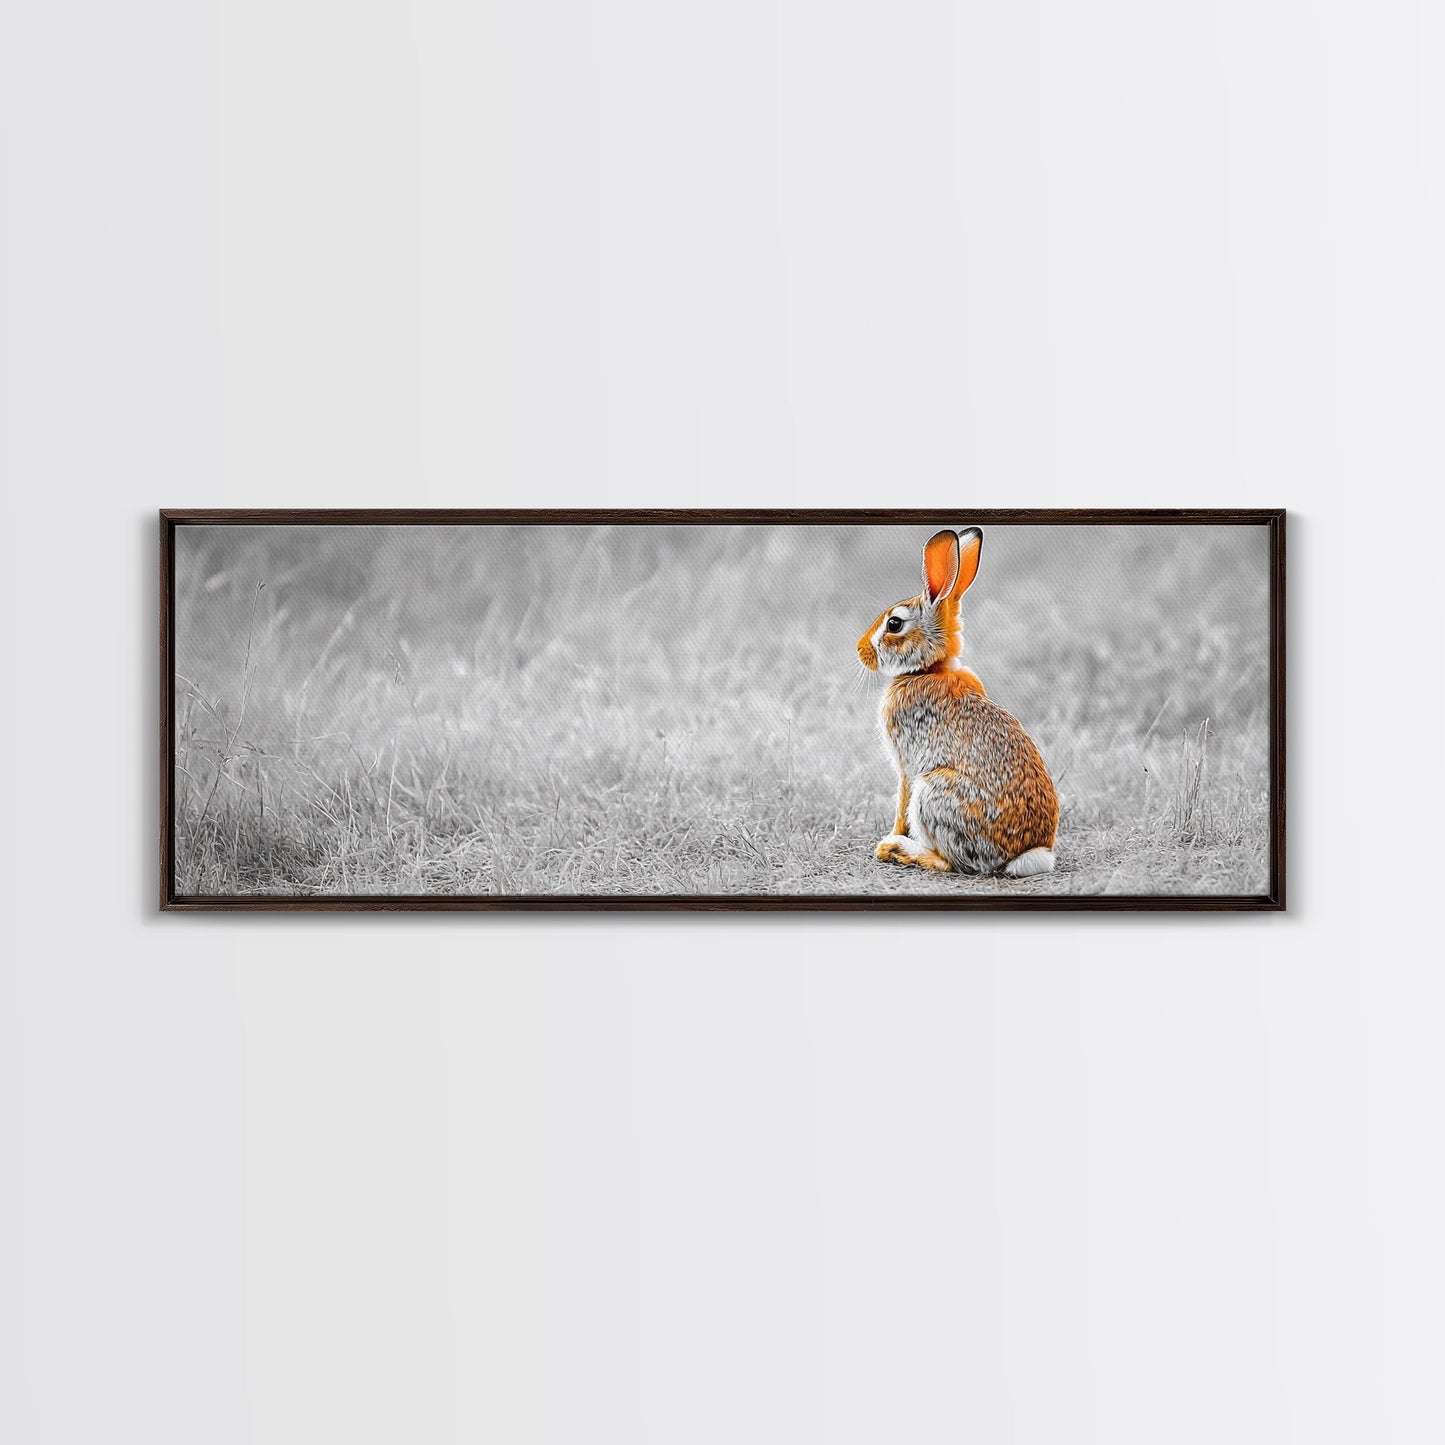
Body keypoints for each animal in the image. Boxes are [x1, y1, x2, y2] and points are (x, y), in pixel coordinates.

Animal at [856, 527, 1059, 877]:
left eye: (894, 624)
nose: (859, 649)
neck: (929, 669)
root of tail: (1027, 855)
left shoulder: (907, 766)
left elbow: (901, 803)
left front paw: (889, 838)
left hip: (933, 791)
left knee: (952, 863)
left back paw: (899, 850)